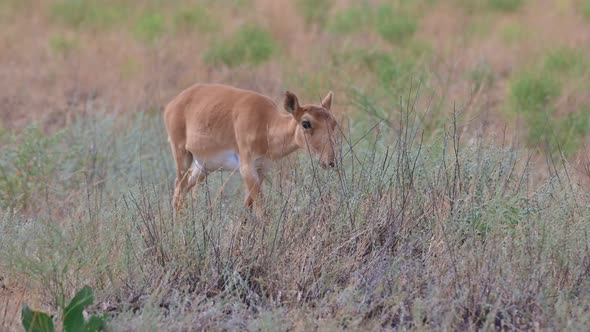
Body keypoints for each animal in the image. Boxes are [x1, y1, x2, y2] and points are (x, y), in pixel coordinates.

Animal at [164, 83, 340, 213]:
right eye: (306, 123)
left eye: (333, 122)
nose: (329, 161)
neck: (265, 123)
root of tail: (171, 105)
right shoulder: (246, 168)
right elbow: (261, 208)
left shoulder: (262, 169)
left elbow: (247, 207)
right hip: (182, 155)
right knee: (178, 191)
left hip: (202, 167)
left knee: (183, 189)